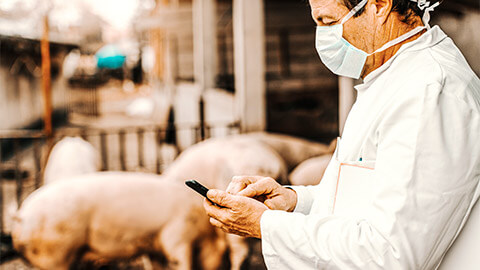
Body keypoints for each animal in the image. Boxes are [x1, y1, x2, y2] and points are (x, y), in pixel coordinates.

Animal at [12, 173, 226, 270]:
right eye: (223, 255)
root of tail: (20, 216)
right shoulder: (177, 233)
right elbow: (179, 261)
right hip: (55, 251)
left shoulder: (154, 245)